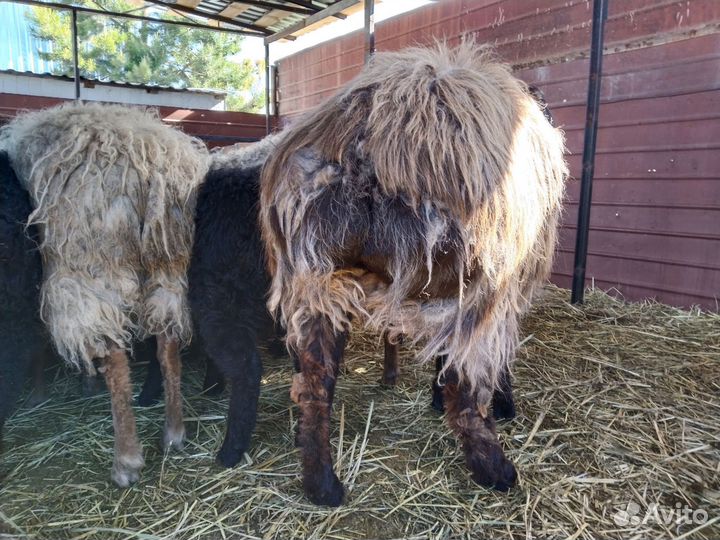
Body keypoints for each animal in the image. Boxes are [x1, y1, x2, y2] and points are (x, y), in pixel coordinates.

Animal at [0, 103, 210, 486]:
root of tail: (149, 163)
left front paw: (42, 392)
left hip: (89, 267)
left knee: (113, 354)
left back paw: (126, 460)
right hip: (170, 264)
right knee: (168, 345)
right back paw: (173, 434)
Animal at [260, 42, 568, 505]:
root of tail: (366, 139)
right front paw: (500, 403)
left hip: (317, 277)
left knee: (314, 383)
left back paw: (322, 484)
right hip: (474, 278)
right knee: (466, 388)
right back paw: (494, 468)